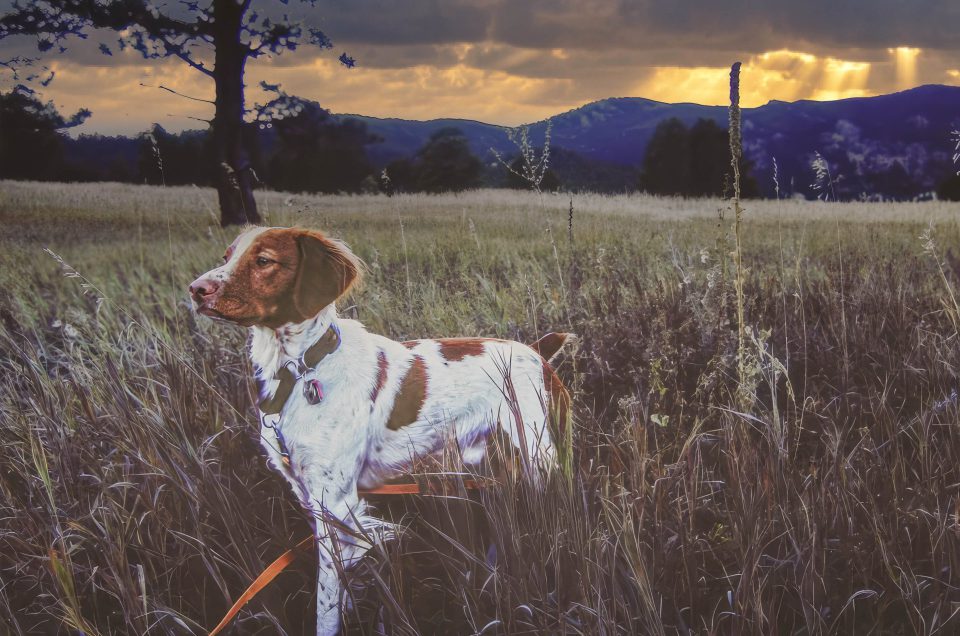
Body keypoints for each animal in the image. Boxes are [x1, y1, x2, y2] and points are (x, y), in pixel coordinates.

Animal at [191, 226, 572, 632]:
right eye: (228, 255)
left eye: (264, 260)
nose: (196, 289)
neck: (300, 369)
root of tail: (537, 351)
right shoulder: (310, 495)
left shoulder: (334, 501)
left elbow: (327, 602)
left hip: (542, 458)